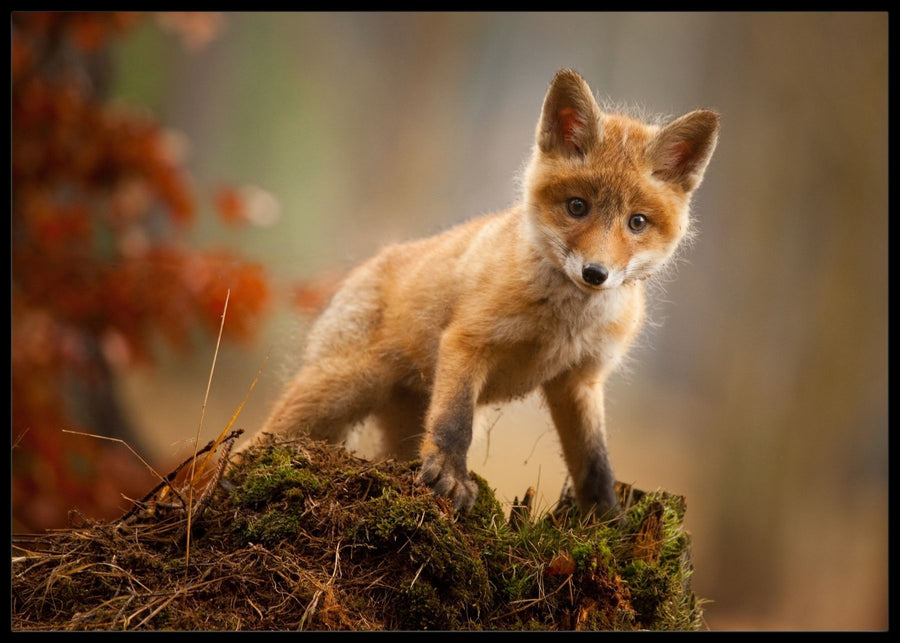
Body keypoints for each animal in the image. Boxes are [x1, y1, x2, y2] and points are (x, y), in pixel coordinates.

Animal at [254, 68, 719, 519]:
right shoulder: (468, 342)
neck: (564, 323)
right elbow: (455, 423)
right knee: (259, 440)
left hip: (399, 421)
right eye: (577, 207)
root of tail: (370, 263)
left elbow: (595, 464)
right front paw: (450, 478)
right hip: (336, 392)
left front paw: (607, 523)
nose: (595, 273)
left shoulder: (579, 380)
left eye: (637, 222)